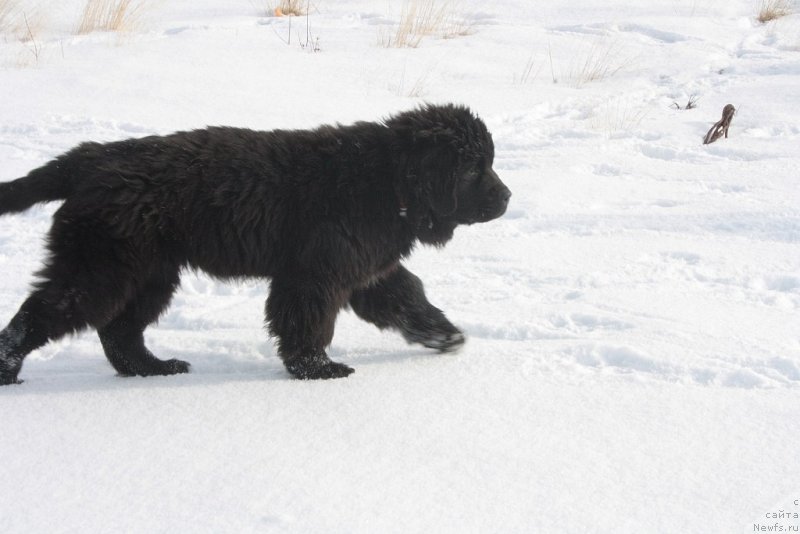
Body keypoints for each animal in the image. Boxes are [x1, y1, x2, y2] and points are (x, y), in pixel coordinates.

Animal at [0, 103, 510, 386]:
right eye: (473, 169)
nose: (507, 197)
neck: (387, 180)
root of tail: (89, 157)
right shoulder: (315, 274)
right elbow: (307, 322)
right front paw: (317, 370)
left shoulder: (365, 268)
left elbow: (407, 297)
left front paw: (444, 335)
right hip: (101, 265)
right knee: (43, 314)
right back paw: (8, 371)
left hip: (149, 271)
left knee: (120, 332)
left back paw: (154, 368)